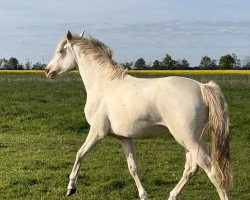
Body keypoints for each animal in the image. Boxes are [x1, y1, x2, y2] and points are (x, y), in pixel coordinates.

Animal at [45, 31, 232, 200]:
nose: (47, 71)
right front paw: (143, 195)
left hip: (189, 139)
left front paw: (71, 187)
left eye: (61, 51)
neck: (104, 84)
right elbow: (133, 167)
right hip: (193, 141)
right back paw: (172, 195)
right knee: (191, 168)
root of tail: (202, 87)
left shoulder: (97, 132)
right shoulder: (124, 137)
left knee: (212, 171)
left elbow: (80, 154)